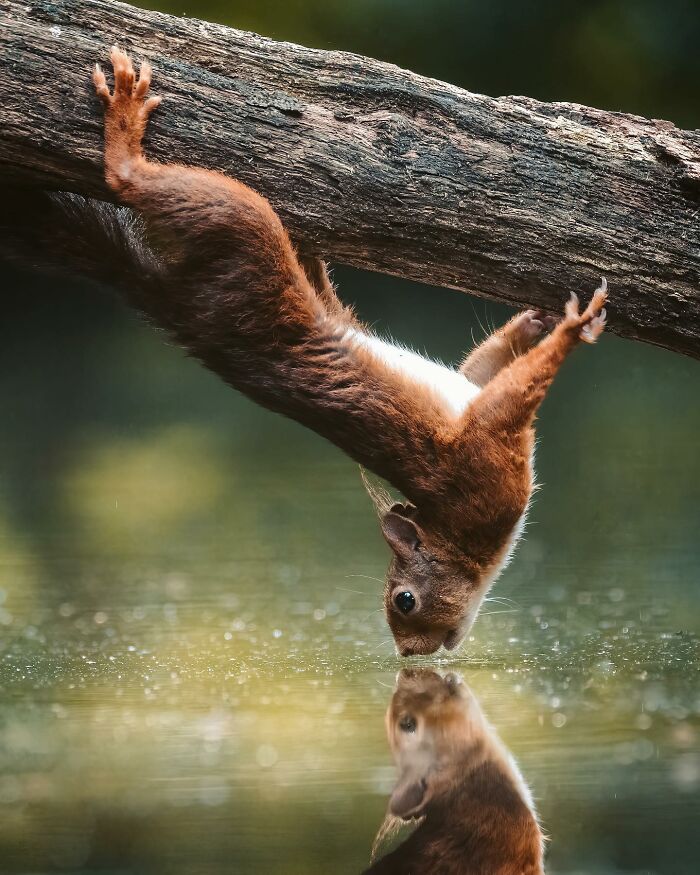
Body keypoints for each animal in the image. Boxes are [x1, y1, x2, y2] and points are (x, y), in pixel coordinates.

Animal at [0, 49, 608, 657]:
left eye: (403, 600)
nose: (410, 654)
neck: (459, 534)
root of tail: (167, 300)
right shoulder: (484, 464)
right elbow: (509, 398)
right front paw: (571, 329)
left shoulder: (479, 435)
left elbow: (481, 374)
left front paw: (539, 322)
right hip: (247, 235)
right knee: (137, 183)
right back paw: (125, 139)